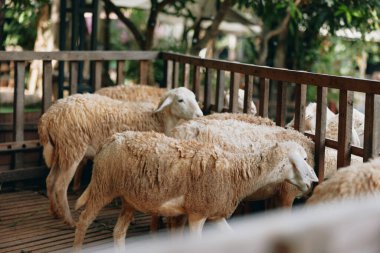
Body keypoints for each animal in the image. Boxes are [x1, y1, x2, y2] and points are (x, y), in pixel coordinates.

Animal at [38, 87, 203, 227]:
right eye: (180, 100)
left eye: (194, 97)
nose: (199, 115)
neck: (159, 119)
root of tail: (48, 118)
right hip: (73, 147)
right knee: (60, 186)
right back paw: (69, 220)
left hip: (61, 151)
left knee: (50, 180)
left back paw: (55, 212)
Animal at [73, 130, 318, 249]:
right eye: (303, 160)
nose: (314, 182)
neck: (235, 174)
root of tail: (111, 138)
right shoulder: (197, 213)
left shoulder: (214, 214)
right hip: (103, 186)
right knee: (84, 222)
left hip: (129, 199)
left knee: (118, 232)